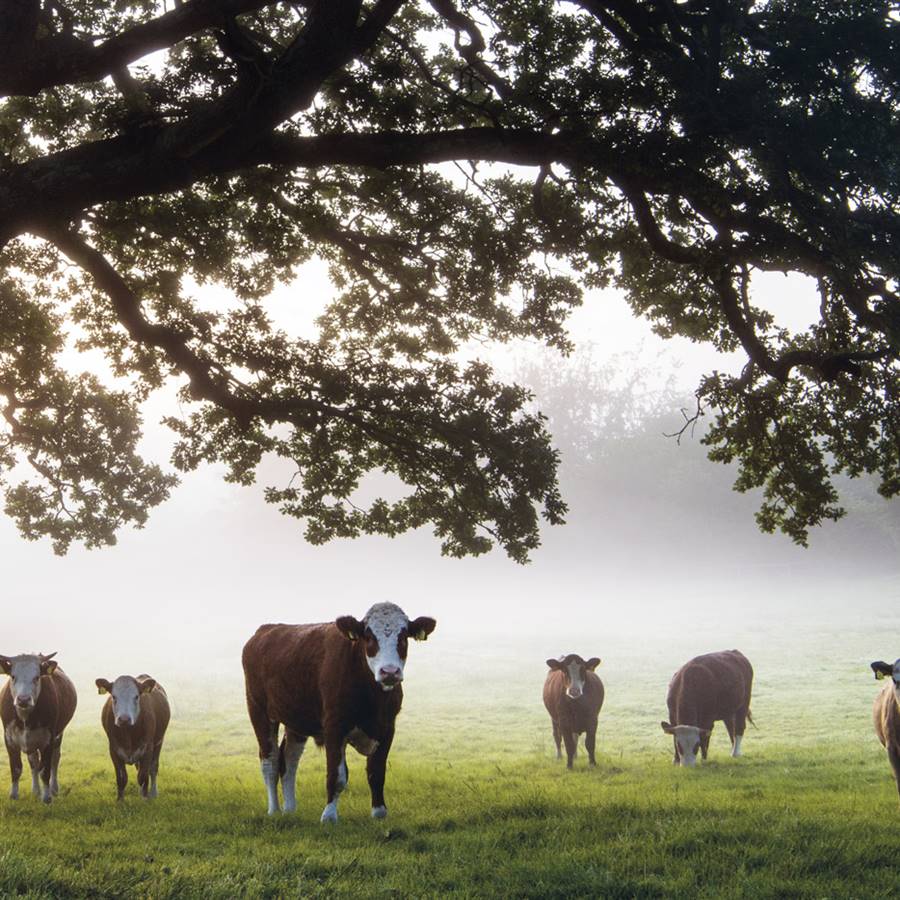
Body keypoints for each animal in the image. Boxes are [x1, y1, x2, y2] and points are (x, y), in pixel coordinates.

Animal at [0, 652, 77, 804]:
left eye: (36, 677)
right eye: (13, 676)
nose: (23, 699)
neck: (25, 717)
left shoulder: (48, 739)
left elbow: (45, 770)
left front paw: (46, 797)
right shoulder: (9, 739)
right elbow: (16, 768)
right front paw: (14, 795)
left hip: (58, 735)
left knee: (54, 759)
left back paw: (54, 789)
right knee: (34, 762)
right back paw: (35, 790)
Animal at [239, 600, 436, 828]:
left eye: (403, 637)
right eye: (369, 636)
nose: (389, 672)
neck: (372, 699)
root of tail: (265, 630)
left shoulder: (388, 728)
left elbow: (377, 772)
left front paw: (379, 813)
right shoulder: (334, 726)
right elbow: (337, 775)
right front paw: (329, 816)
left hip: (296, 720)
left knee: (289, 760)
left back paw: (290, 810)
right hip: (259, 710)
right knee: (269, 761)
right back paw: (274, 810)